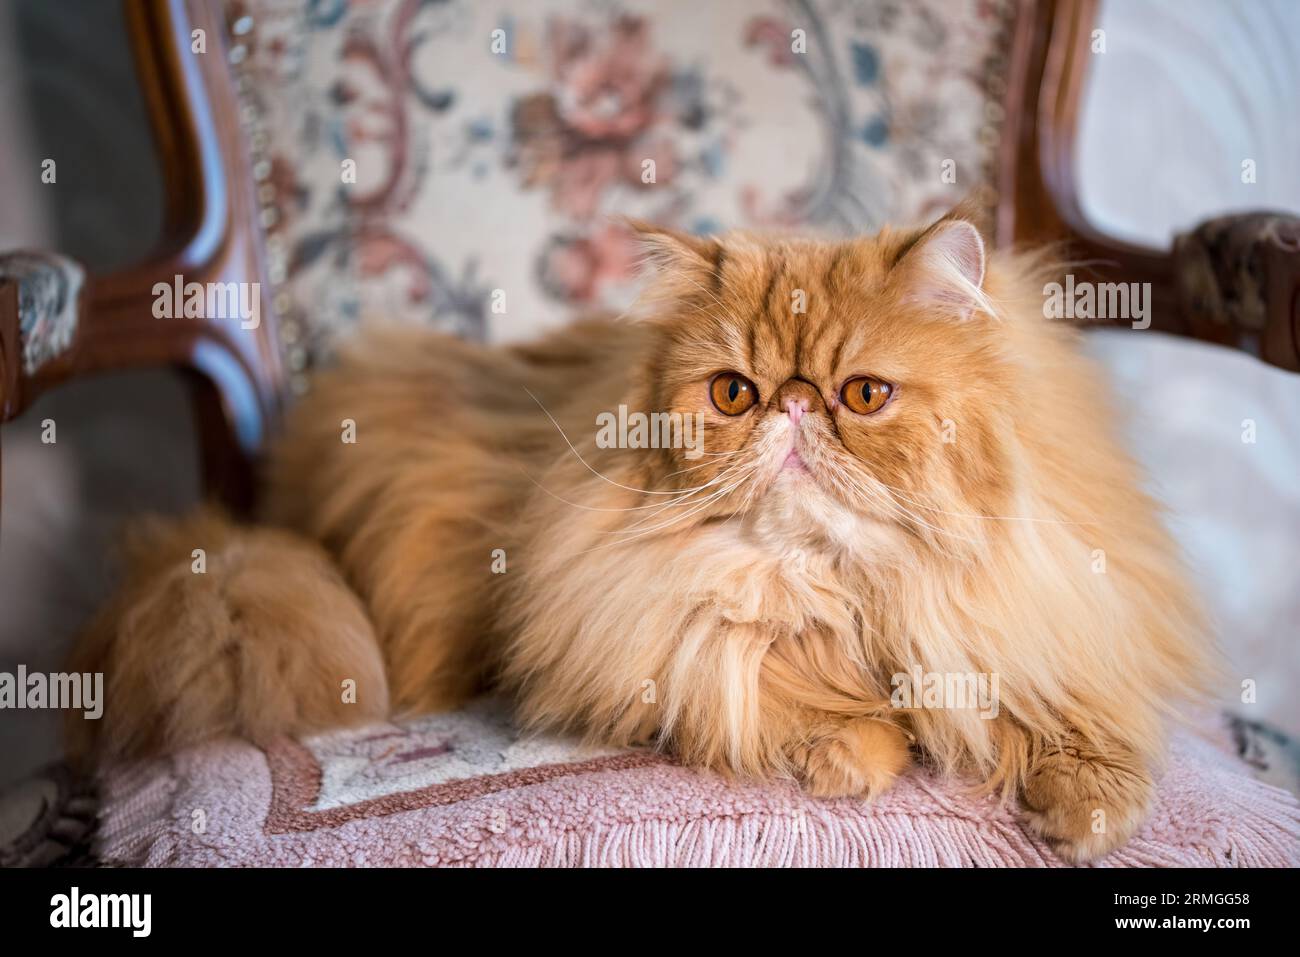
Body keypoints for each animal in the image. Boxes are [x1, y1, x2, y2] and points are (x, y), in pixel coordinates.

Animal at [68, 202, 1211, 862]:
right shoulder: (670, 642)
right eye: (736, 392)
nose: (795, 408)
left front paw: (1087, 813)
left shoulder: (1048, 613)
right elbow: (799, 698)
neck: (850, 590)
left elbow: (1069, 719)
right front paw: (851, 751)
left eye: (863, 394)